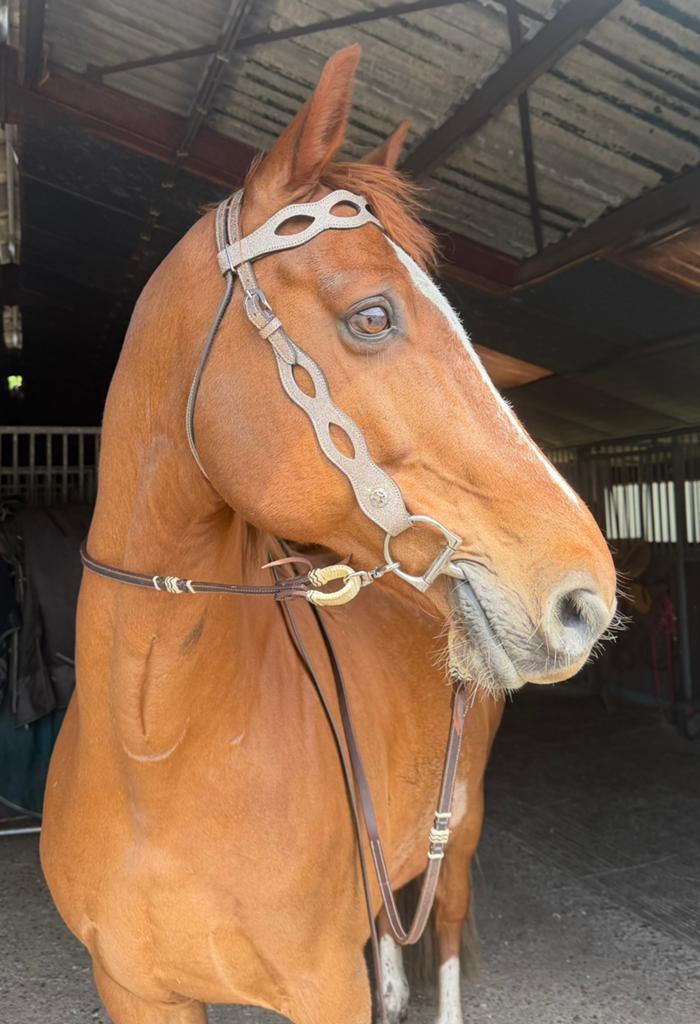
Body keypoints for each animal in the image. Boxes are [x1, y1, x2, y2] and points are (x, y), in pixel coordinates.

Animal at [40, 45, 617, 1024]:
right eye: (373, 315)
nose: (588, 598)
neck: (154, 746)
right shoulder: (133, 990)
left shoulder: (321, 988)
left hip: (458, 833)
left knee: (446, 927)